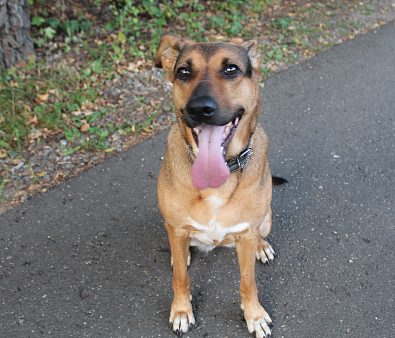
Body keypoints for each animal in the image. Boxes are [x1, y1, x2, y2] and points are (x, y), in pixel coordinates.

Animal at [155, 35, 282, 336]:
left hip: (266, 219)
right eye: (183, 72)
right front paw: (182, 310)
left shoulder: (246, 234)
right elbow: (181, 278)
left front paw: (254, 316)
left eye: (231, 69)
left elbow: (248, 282)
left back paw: (262, 246)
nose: (199, 108)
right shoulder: (176, 228)